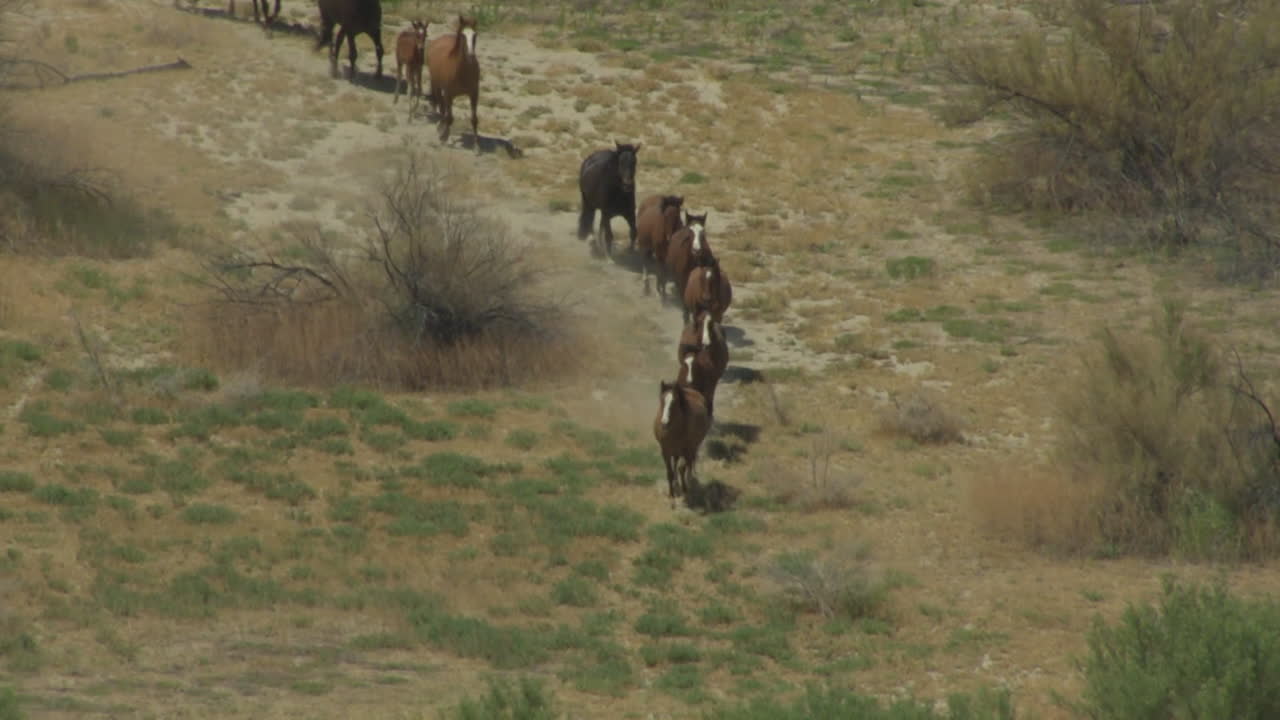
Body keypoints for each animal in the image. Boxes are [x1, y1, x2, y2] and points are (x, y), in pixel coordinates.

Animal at [425, 15, 481, 148]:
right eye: (462, 35)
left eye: (475, 35)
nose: (471, 56)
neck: (462, 72)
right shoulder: (449, 94)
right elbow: (449, 117)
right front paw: (444, 137)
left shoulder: (474, 94)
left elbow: (474, 119)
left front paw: (476, 146)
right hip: (437, 86)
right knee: (441, 107)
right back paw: (441, 128)